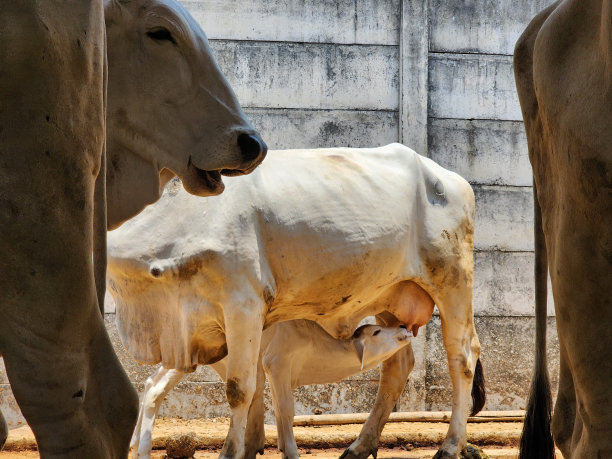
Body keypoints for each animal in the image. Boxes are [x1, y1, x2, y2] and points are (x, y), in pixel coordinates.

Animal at [107, 145, 486, 459]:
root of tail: (451, 178)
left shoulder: (244, 305)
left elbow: (240, 390)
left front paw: (231, 452)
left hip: (452, 280)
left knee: (463, 357)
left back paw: (451, 446)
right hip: (391, 297)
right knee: (397, 365)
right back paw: (360, 446)